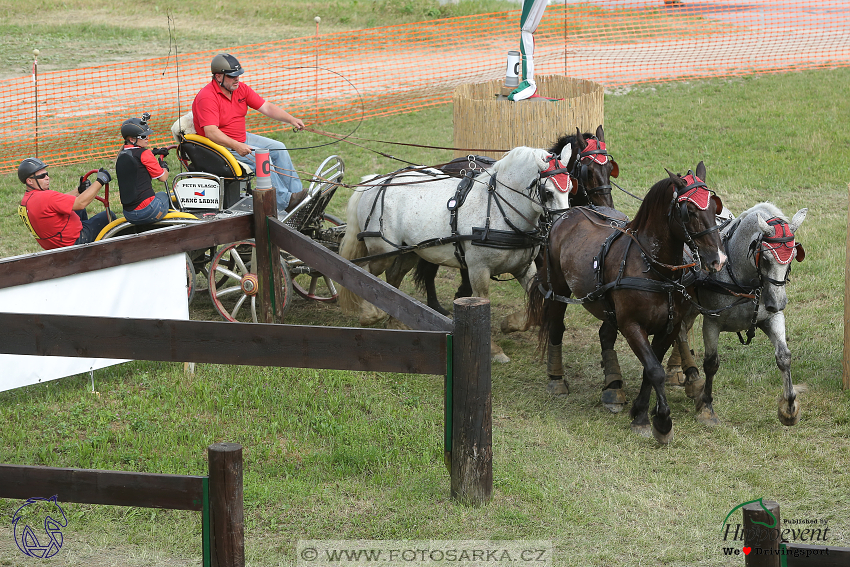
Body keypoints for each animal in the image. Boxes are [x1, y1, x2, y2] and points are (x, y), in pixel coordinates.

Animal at [336, 144, 568, 362]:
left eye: (570, 187)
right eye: (548, 192)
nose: (562, 225)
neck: (497, 210)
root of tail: (375, 181)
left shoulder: (523, 268)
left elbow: (539, 305)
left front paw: (509, 324)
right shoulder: (478, 270)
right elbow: (484, 303)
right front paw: (494, 350)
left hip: (409, 251)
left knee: (391, 278)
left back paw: (394, 322)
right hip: (383, 250)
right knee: (363, 272)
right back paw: (370, 315)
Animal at [528, 164, 724, 444]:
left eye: (713, 208)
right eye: (690, 212)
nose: (718, 259)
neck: (653, 267)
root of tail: (571, 212)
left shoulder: (669, 328)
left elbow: (650, 370)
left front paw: (640, 411)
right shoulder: (631, 325)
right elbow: (655, 370)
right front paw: (660, 421)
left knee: (605, 334)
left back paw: (613, 387)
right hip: (558, 288)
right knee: (556, 327)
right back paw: (557, 379)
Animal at [672, 203, 804, 426]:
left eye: (793, 256)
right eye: (765, 258)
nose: (778, 303)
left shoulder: (772, 318)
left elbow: (784, 357)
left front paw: (789, 408)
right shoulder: (712, 323)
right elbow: (711, 363)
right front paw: (706, 407)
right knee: (679, 332)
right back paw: (689, 375)